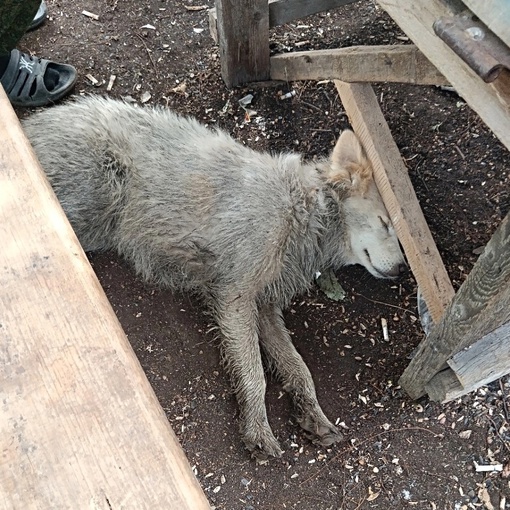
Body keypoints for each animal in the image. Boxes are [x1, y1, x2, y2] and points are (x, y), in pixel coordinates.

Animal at [22, 97, 406, 460]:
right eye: (386, 223)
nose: (404, 269)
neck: (303, 211)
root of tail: (32, 123)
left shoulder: (264, 307)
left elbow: (299, 369)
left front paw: (313, 415)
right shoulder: (235, 297)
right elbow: (255, 375)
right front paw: (257, 430)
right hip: (93, 208)